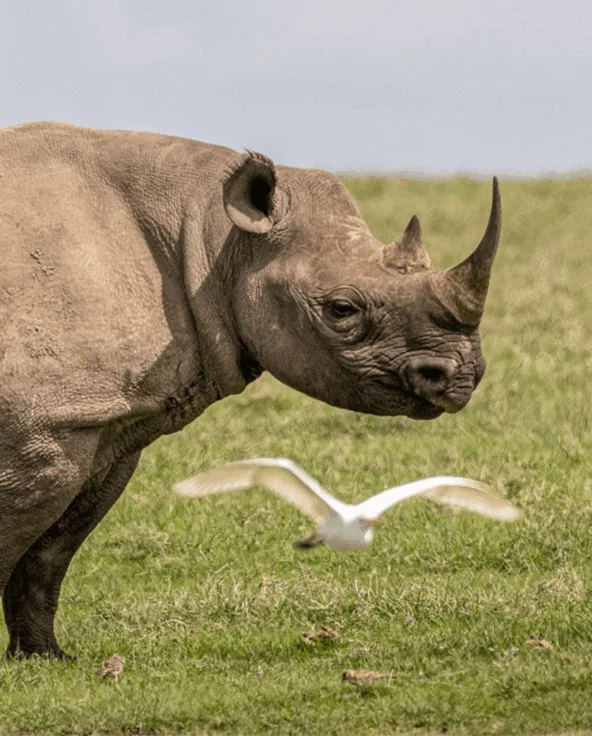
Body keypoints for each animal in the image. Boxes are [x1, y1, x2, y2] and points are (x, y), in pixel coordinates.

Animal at [0, 122, 501, 660]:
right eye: (341, 309)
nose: (462, 376)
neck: (211, 234)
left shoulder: (102, 419)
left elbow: (52, 551)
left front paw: (45, 657)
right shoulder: (43, 424)